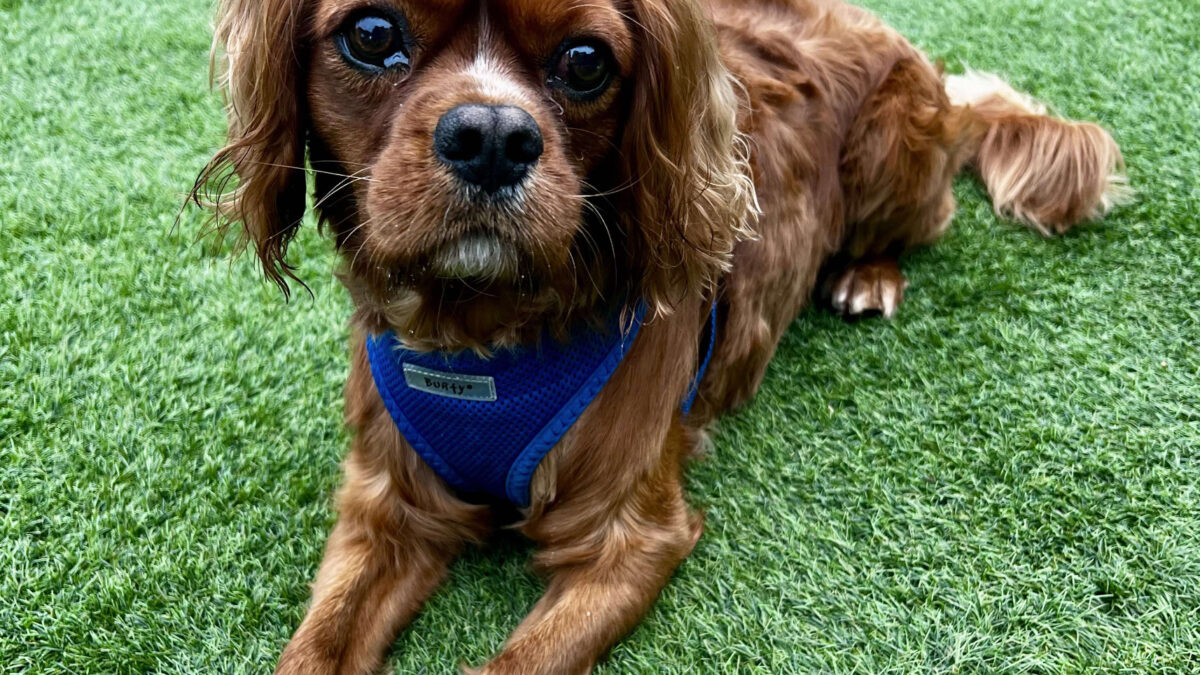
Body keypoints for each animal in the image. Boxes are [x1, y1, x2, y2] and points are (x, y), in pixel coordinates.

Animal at [192, 0, 1128, 667]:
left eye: (585, 61)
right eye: (372, 34)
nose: (492, 136)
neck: (481, 331)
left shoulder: (630, 539)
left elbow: (518, 661)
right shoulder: (386, 508)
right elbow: (317, 646)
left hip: (892, 152)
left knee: (928, 217)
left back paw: (868, 274)